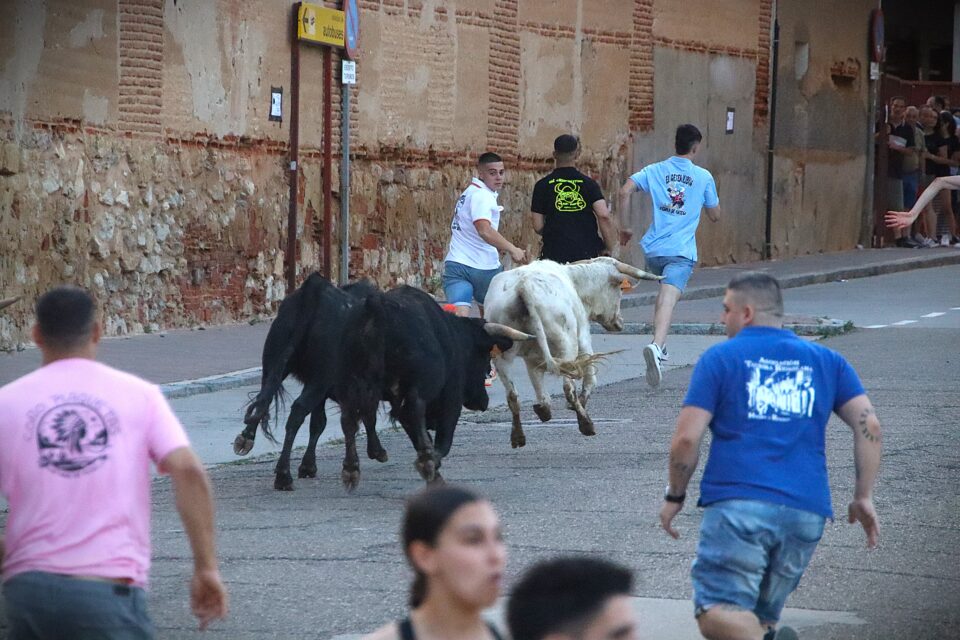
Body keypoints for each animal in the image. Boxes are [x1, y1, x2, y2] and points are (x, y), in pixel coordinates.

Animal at [234, 273, 386, 491]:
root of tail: (315, 289)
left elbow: (318, 422)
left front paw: (308, 466)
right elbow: (364, 417)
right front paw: (375, 451)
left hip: (275, 363)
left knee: (264, 399)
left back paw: (246, 439)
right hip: (320, 378)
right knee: (297, 411)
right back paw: (283, 475)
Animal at [335, 285, 532, 488]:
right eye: (485, 356)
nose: (483, 402)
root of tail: (377, 307)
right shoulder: (451, 396)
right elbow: (442, 438)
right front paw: (432, 462)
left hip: (354, 384)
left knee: (350, 418)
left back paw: (354, 467)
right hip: (416, 386)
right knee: (411, 411)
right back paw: (426, 463)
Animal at [482, 257, 662, 448]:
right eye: (619, 288)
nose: (620, 322)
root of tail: (523, 287)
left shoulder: (532, 358)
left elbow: (539, 385)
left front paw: (543, 409)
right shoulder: (583, 337)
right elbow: (590, 378)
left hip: (502, 356)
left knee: (512, 396)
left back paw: (518, 436)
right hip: (567, 344)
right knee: (568, 387)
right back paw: (586, 423)